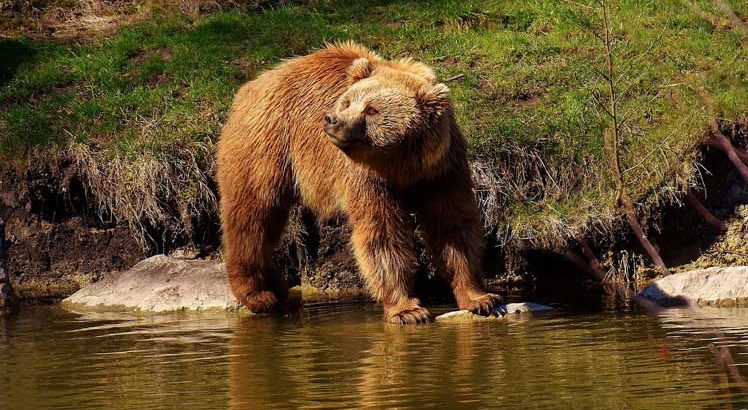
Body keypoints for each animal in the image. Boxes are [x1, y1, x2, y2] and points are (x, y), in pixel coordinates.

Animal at [216, 41, 502, 324]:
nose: (332, 119)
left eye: (372, 109)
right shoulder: (367, 178)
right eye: (347, 101)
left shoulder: (440, 170)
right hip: (267, 145)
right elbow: (382, 234)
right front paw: (407, 310)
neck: (402, 164)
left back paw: (277, 286)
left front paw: (481, 298)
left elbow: (453, 227)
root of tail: (250, 85)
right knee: (253, 216)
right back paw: (257, 294)